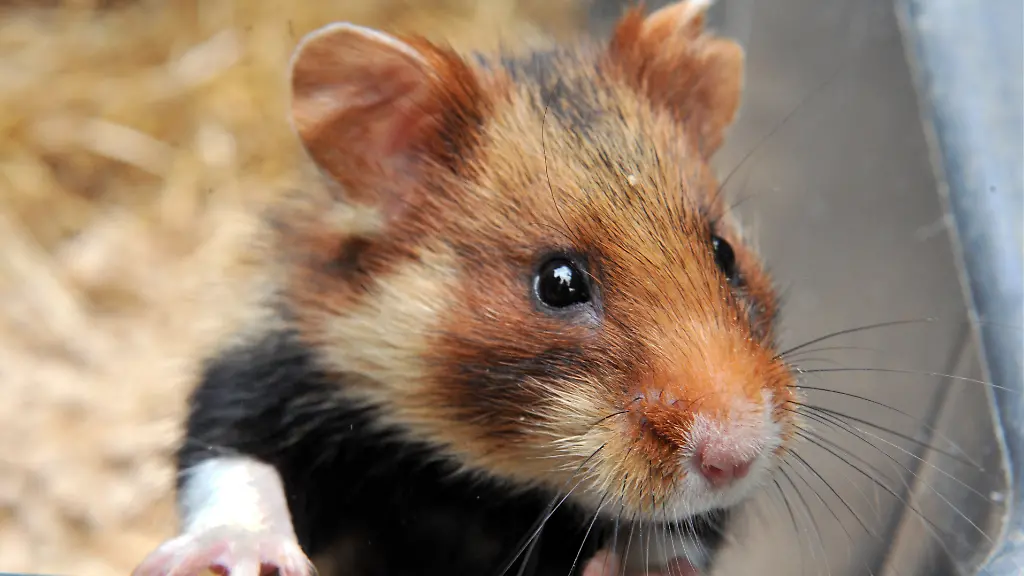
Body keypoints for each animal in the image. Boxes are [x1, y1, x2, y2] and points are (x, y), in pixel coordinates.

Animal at [132, 1, 798, 575]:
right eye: (557, 282)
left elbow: (671, 533)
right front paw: (245, 558)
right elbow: (237, 464)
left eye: (725, 252)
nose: (737, 458)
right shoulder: (264, 372)